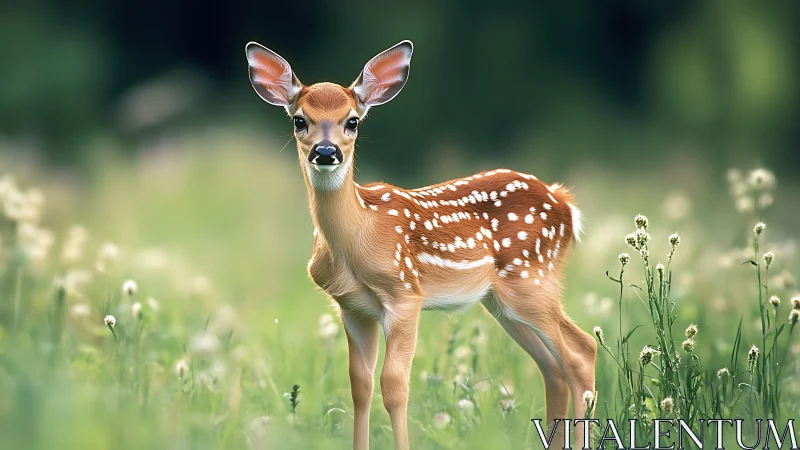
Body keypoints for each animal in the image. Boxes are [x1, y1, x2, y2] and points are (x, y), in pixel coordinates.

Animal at [245, 40, 596, 450]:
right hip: (501, 300)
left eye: (353, 121)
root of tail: (566, 204)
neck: (358, 236)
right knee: (552, 367)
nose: (327, 152)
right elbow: (360, 386)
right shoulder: (353, 308)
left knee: (581, 352)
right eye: (300, 120)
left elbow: (394, 386)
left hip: (531, 278)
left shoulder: (405, 295)